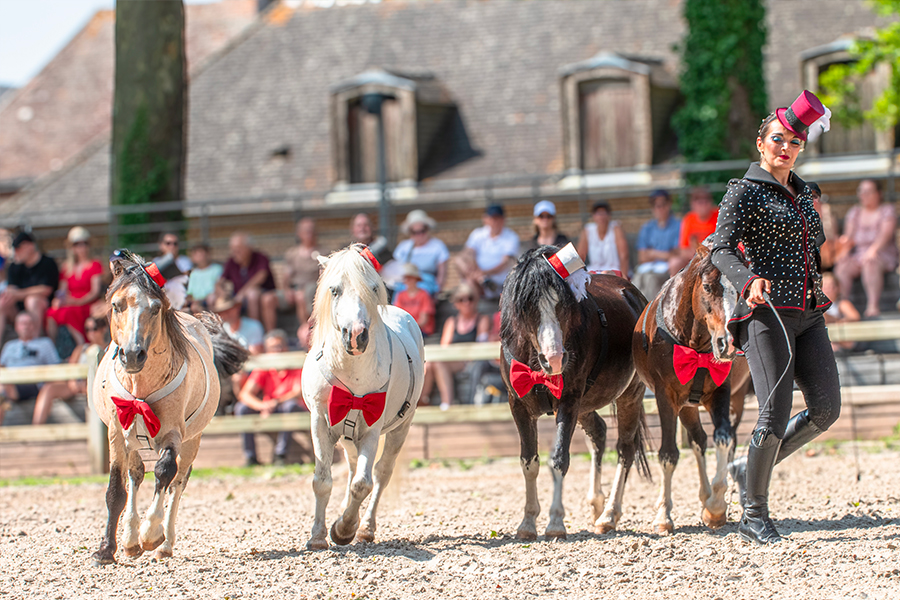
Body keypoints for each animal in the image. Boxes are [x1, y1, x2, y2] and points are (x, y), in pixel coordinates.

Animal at [92, 250, 248, 564]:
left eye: (155, 308)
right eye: (116, 305)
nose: (132, 354)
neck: (140, 389)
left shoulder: (174, 433)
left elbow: (165, 471)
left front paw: (151, 534)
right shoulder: (116, 433)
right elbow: (116, 488)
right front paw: (106, 549)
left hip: (192, 440)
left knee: (178, 481)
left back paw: (163, 544)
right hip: (133, 441)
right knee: (136, 474)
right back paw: (130, 540)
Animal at [302, 244, 426, 548]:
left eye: (373, 288)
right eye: (334, 290)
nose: (356, 335)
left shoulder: (372, 427)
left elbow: (363, 484)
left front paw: (344, 529)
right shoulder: (320, 422)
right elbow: (322, 481)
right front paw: (318, 536)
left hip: (400, 428)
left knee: (381, 473)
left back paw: (365, 527)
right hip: (347, 436)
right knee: (352, 467)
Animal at [496, 244, 652, 540]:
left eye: (564, 305)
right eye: (527, 306)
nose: (555, 359)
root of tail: (634, 294)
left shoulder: (568, 401)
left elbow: (559, 460)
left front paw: (556, 522)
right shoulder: (518, 405)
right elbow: (528, 462)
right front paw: (527, 523)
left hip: (630, 394)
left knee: (625, 450)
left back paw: (609, 515)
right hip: (587, 405)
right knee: (599, 433)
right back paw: (596, 503)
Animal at [632, 244, 752, 536]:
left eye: (740, 289)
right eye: (707, 287)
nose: (728, 343)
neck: (695, 347)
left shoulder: (721, 392)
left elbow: (723, 439)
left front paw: (716, 507)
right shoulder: (666, 397)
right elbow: (668, 454)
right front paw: (663, 515)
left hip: (734, 399)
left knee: (721, 439)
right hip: (686, 406)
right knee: (698, 439)